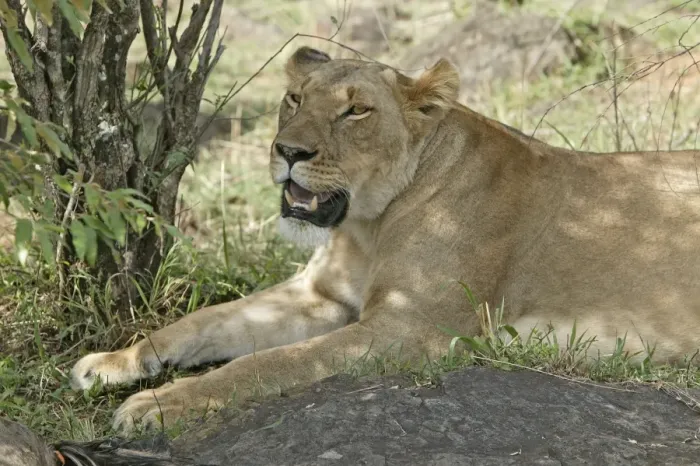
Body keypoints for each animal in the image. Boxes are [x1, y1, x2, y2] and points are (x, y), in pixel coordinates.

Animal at [70, 46, 700, 433]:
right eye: (295, 99)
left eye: (356, 111)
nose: (288, 151)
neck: (368, 225)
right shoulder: (319, 297)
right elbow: (201, 323)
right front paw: (114, 362)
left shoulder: (410, 328)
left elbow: (267, 364)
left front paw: (160, 403)